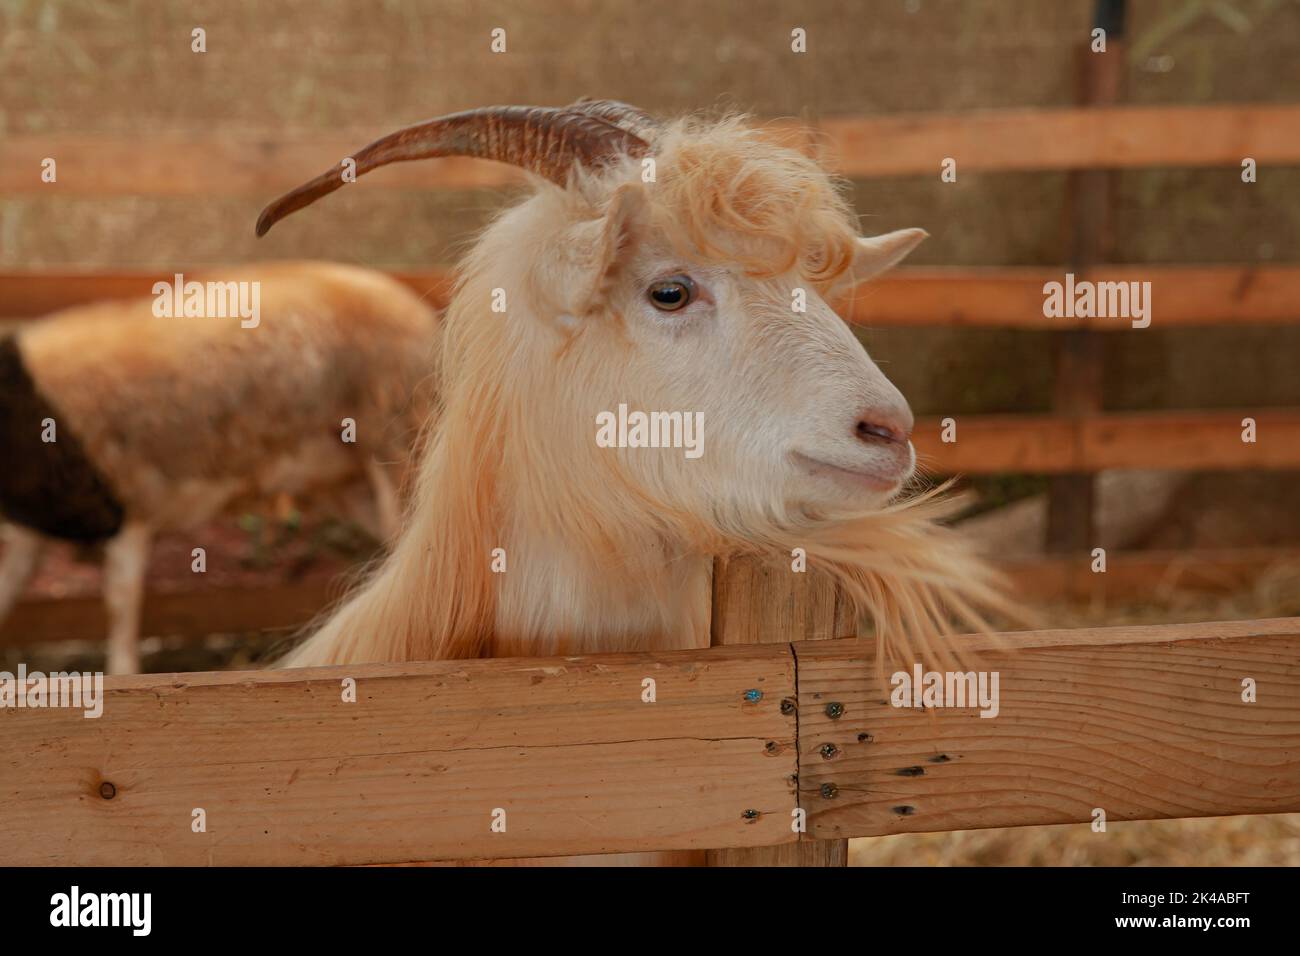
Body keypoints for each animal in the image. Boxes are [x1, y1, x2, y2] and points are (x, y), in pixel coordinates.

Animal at [0, 262, 437, 673]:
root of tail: (420, 313)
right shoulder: (34, 529)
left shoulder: (129, 501)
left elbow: (120, 603)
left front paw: (124, 673)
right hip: (352, 483)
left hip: (398, 440)